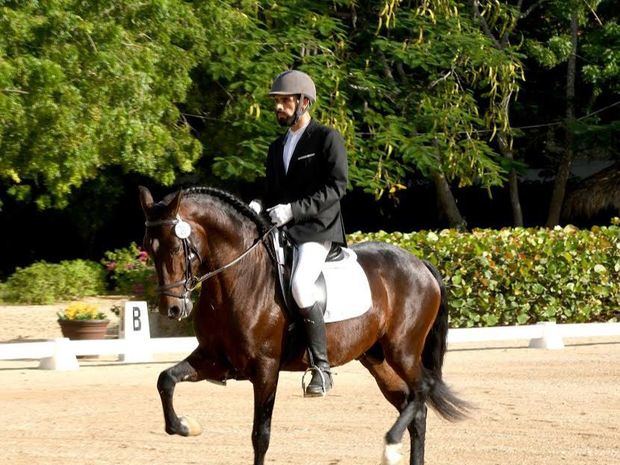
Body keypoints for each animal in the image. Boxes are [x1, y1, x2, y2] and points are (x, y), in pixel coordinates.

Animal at [138, 186, 468, 464]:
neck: (238, 277)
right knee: (414, 407)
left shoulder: (266, 368)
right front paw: (185, 426)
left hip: (403, 350)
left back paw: (390, 444)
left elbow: (260, 435)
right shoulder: (213, 359)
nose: (172, 308)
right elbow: (165, 379)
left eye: (176, 248)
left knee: (422, 390)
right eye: (149, 249)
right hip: (377, 359)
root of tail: (419, 263)